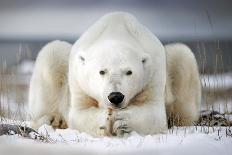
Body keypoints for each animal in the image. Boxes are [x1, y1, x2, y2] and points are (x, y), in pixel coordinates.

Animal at [28, 12, 200, 137]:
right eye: (102, 71)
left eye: (129, 72)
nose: (116, 96)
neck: (116, 30)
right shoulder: (79, 80)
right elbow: (80, 113)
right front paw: (105, 119)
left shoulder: (153, 74)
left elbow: (154, 114)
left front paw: (122, 120)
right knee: (52, 53)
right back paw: (53, 120)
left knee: (182, 56)